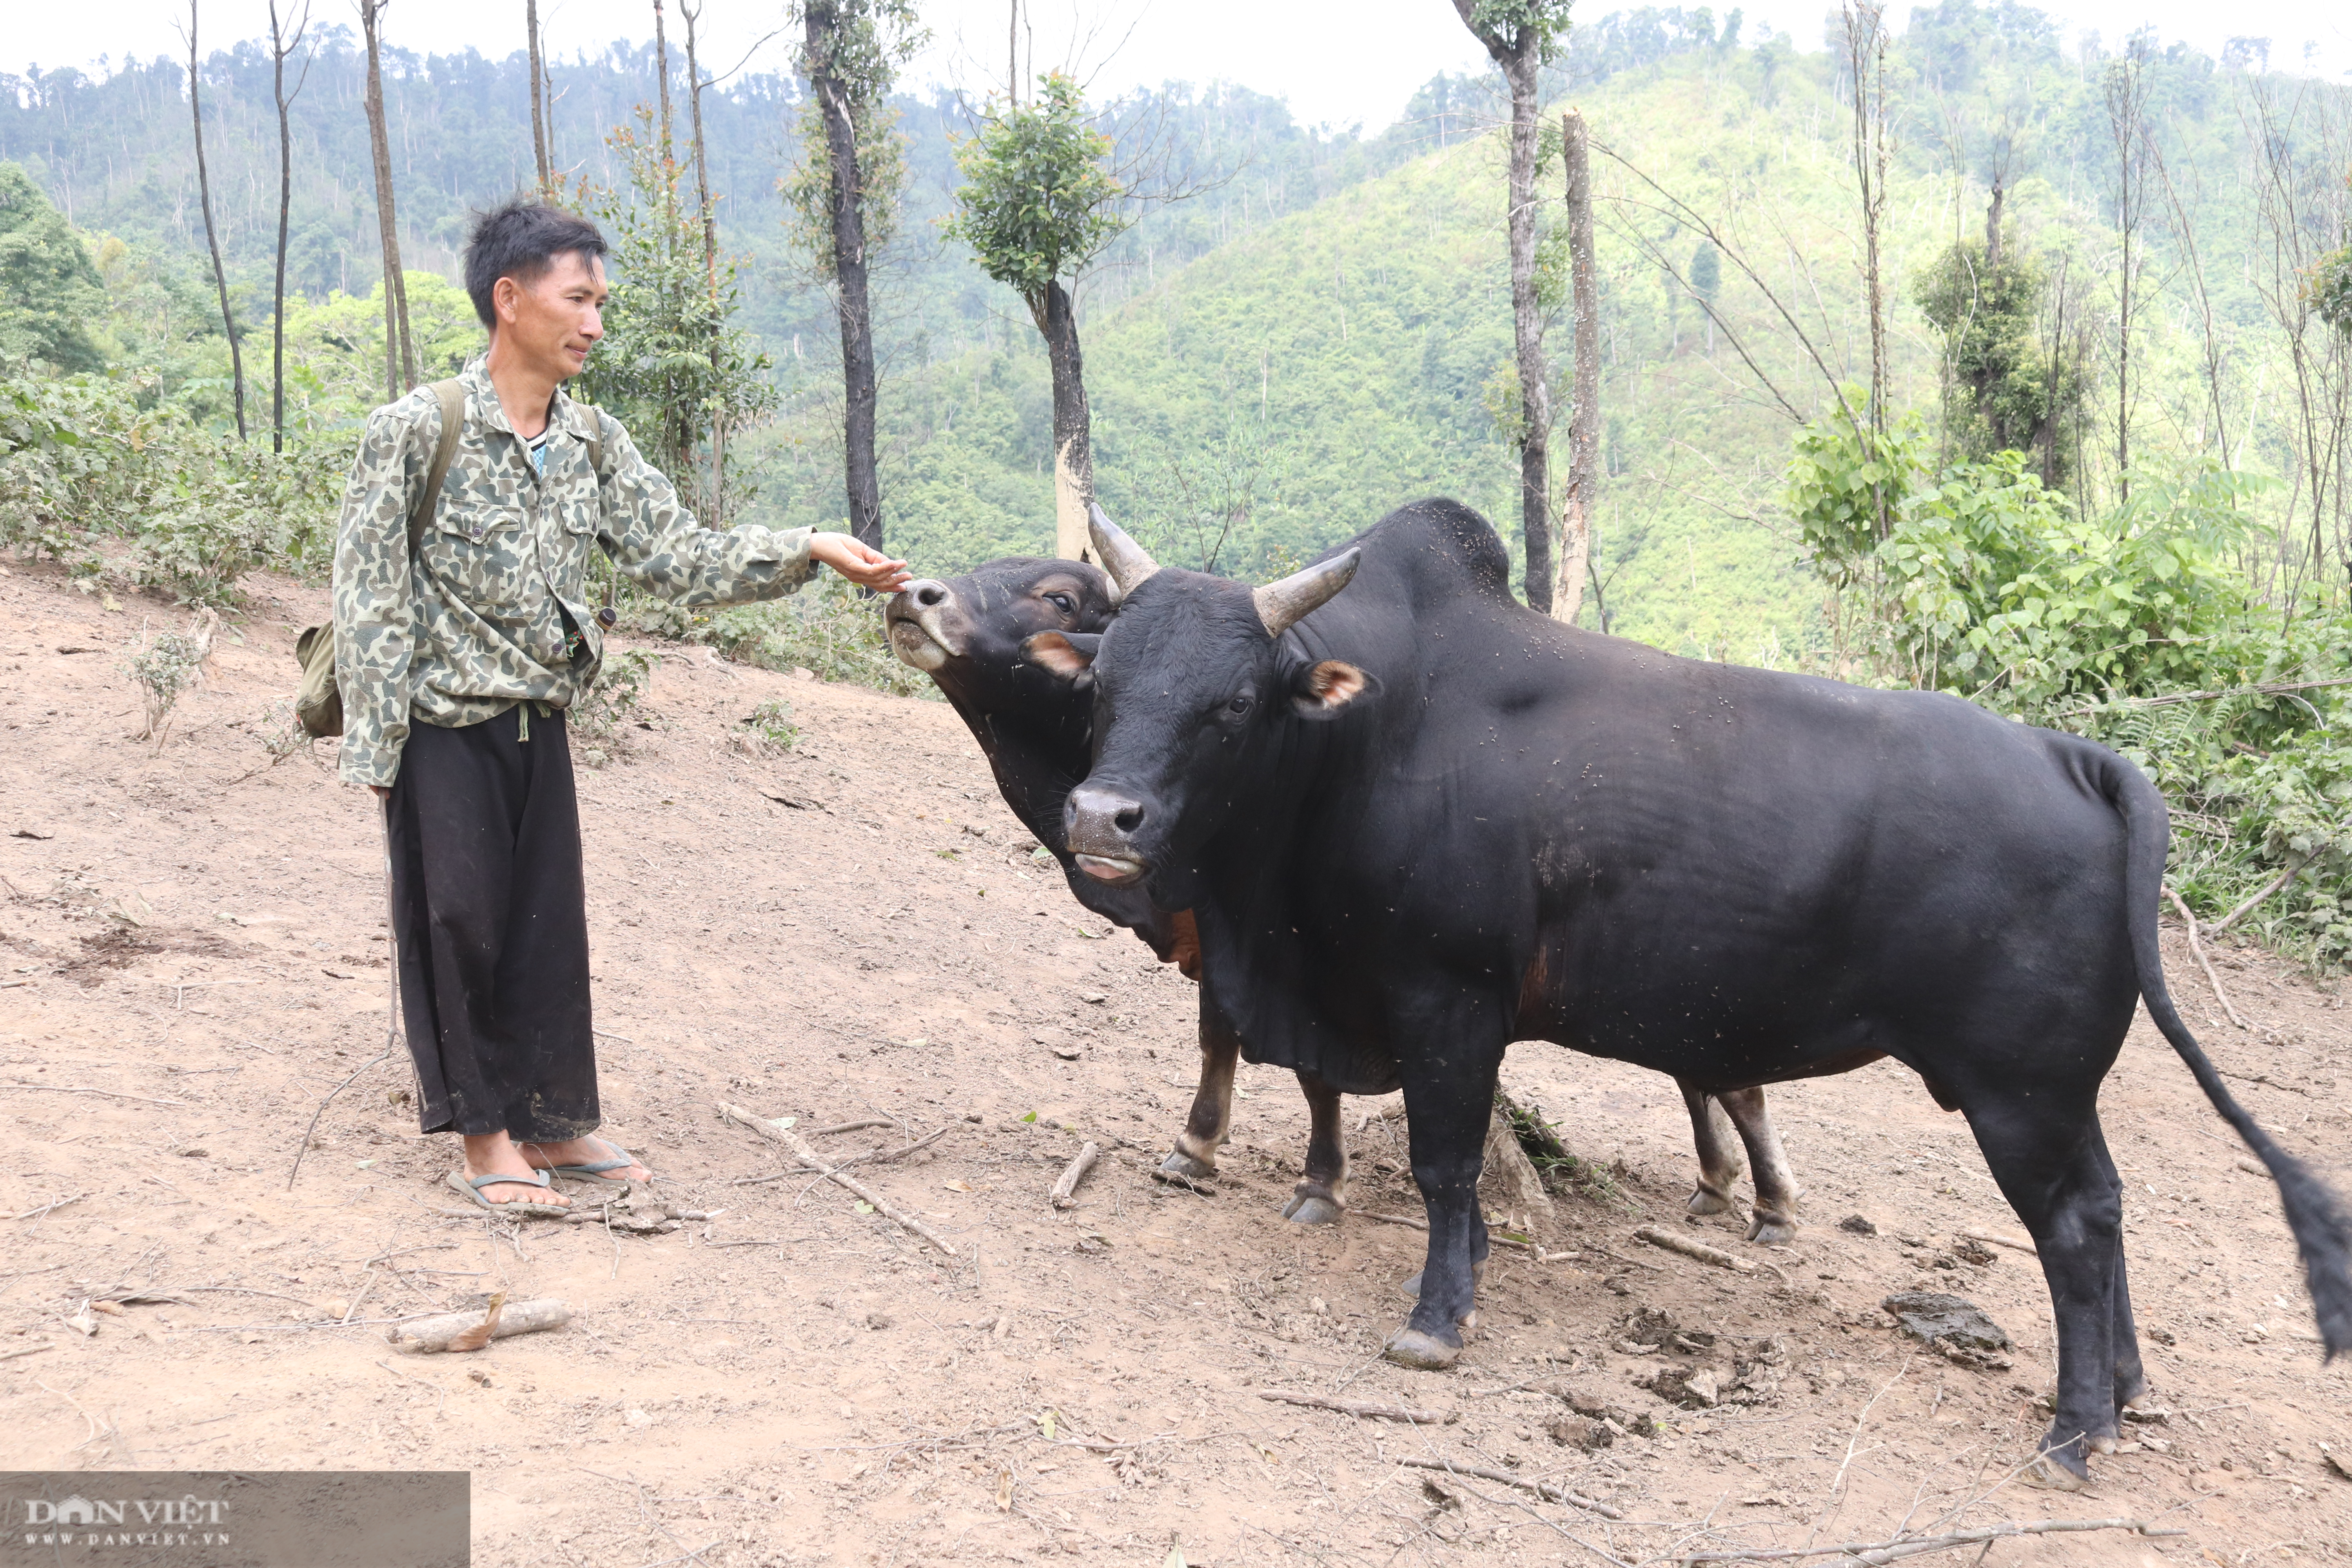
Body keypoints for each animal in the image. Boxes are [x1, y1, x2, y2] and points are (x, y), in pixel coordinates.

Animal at [884, 552, 1797, 1241]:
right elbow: (1260, 1052)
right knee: (1703, 1069)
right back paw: (1719, 1183)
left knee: (1730, 1077)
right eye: (1101, 681)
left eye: (1060, 596)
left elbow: (1243, 1041)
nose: (914, 592)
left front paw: (1213, 1150)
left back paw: (1768, 1202)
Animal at [1054, 501, 2352, 1486]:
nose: (1101, 819)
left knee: (2075, 1227)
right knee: (2111, 1205)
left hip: (2017, 1091)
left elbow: (1443, 1164)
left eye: (1233, 702)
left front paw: (1435, 1320)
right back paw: (2125, 1390)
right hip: (2058, 1092)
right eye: (1103, 681)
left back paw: (2076, 1430)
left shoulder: (1448, 1001)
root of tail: (2075, 756)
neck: (1366, 740)